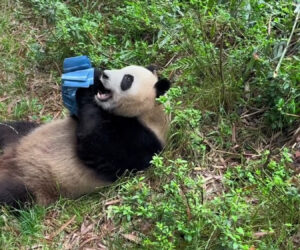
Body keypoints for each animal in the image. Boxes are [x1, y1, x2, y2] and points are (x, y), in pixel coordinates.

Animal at [0, 64, 171, 207]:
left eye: (127, 79)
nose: (105, 75)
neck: (149, 113)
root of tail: (8, 160)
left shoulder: (143, 141)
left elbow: (96, 147)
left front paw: (86, 88)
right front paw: (93, 76)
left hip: (33, 185)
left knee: (10, 193)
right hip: (20, 134)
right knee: (9, 129)